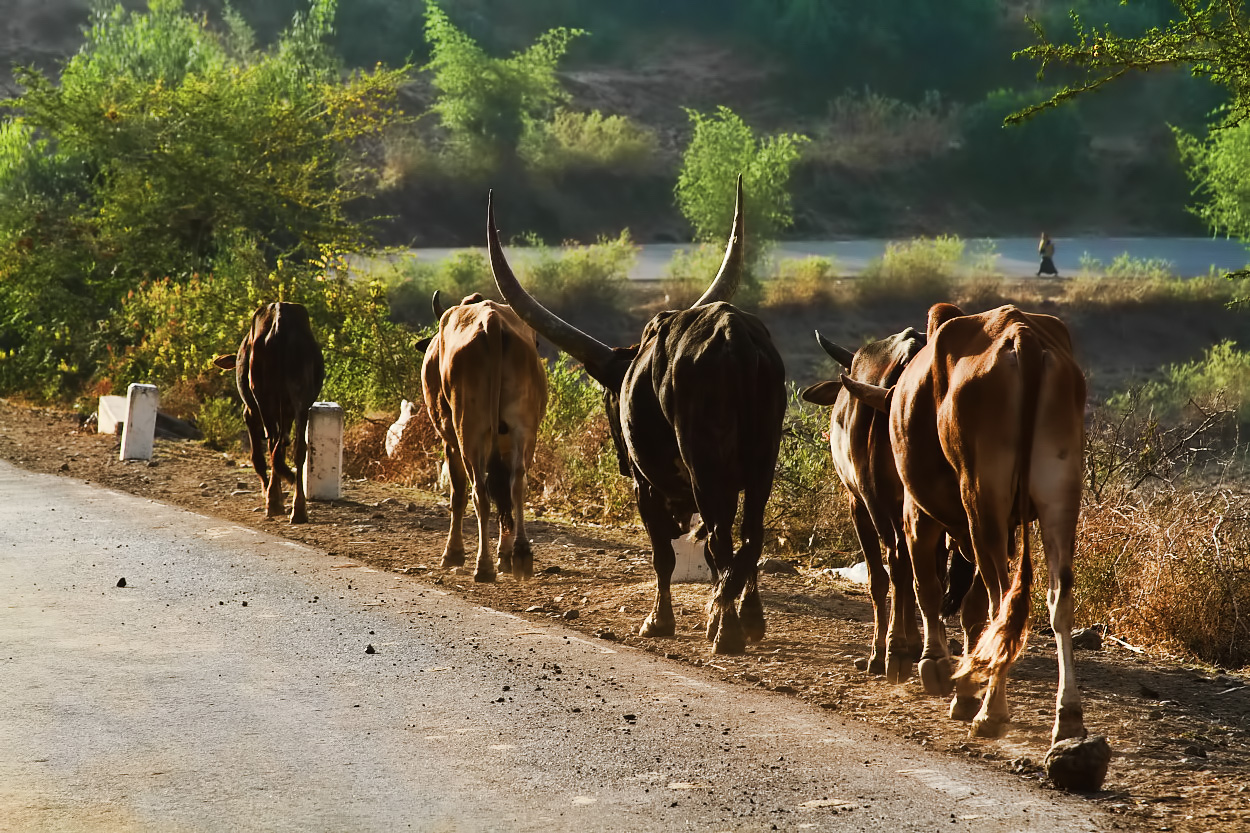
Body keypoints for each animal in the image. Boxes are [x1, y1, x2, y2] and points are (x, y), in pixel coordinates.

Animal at [212, 298, 325, 522]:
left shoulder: (249, 412)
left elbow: (258, 456)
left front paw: (270, 491)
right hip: (298, 400)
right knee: (294, 447)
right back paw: (297, 508)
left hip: (265, 398)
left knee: (274, 443)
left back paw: (275, 499)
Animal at [417, 285, 545, 577]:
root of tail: (491, 320)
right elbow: (505, 494)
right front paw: (505, 555)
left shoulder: (450, 440)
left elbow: (458, 494)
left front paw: (453, 553)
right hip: (523, 429)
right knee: (516, 484)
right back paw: (520, 554)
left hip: (468, 431)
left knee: (479, 493)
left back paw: (483, 565)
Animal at [485, 176, 780, 655]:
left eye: (609, 397)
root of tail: (733, 336)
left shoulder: (647, 487)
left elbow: (664, 553)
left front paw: (659, 621)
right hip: (761, 465)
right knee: (751, 537)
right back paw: (741, 619)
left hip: (705, 468)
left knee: (722, 538)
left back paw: (725, 627)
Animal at [840, 303, 1095, 745]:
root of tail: (1022, 336)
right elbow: (969, 608)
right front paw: (962, 689)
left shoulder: (917, 513)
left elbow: (926, 585)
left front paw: (936, 666)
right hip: (1058, 494)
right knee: (1056, 597)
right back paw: (1067, 717)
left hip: (982, 498)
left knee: (1001, 601)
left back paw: (992, 711)